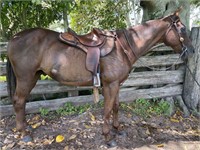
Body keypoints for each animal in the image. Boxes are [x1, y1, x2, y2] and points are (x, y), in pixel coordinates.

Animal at [6, 8, 194, 144]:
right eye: (183, 28)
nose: (192, 51)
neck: (123, 47)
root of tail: (14, 37)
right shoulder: (110, 84)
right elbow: (108, 109)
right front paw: (108, 137)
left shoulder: (118, 84)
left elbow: (116, 106)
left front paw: (118, 129)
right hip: (26, 78)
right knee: (19, 102)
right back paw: (24, 133)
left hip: (32, 77)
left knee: (21, 103)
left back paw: (25, 128)